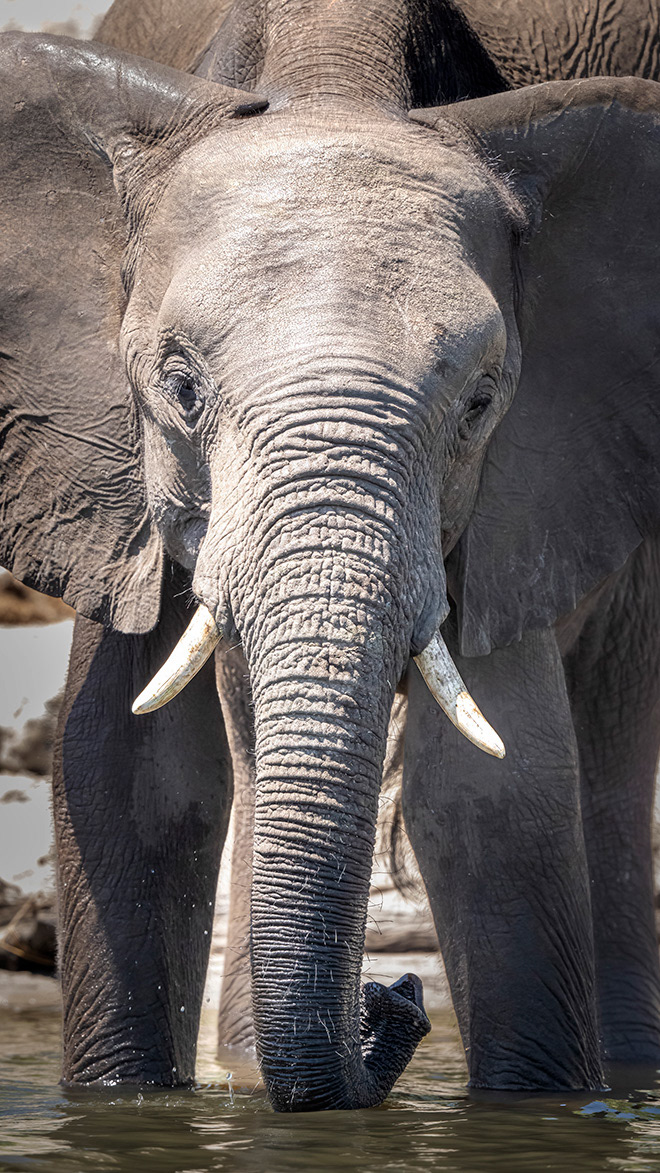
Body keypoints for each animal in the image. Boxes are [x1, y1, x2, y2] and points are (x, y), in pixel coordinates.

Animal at [3, 0, 660, 1112]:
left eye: (480, 403)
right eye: (180, 387)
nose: (392, 995)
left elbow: (499, 794)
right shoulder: (102, 463)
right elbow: (129, 773)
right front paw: (127, 1102)